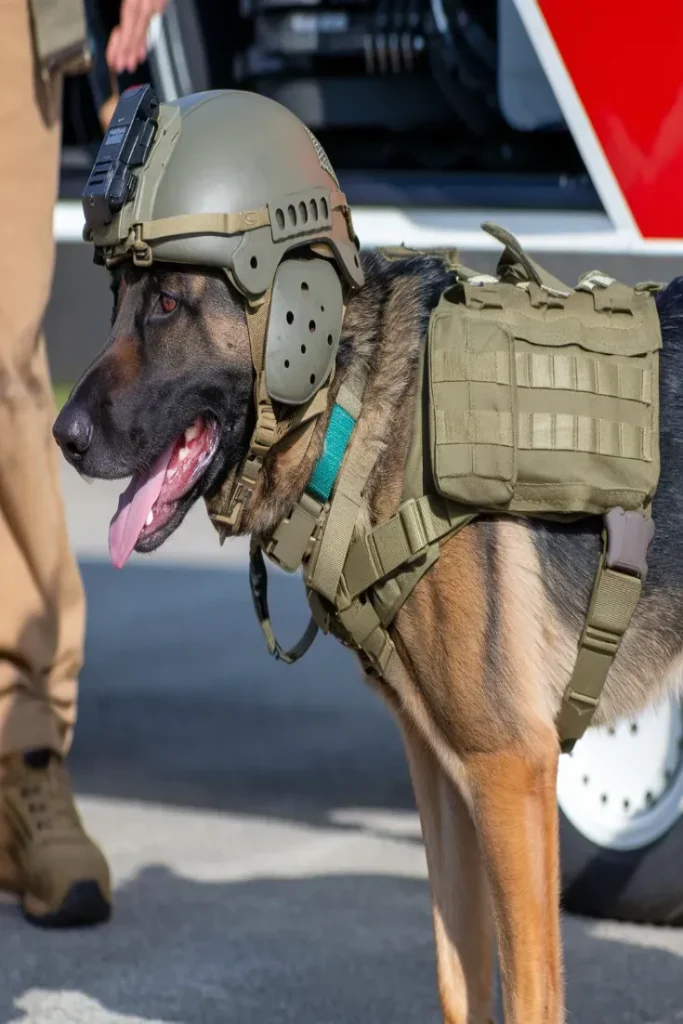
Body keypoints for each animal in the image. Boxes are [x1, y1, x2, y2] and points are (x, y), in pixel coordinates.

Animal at [54, 249, 683, 1024]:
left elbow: (527, 993)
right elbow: (458, 978)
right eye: (116, 301)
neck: (353, 421)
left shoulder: (510, 766)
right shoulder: (447, 773)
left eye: (170, 302)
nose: (63, 437)